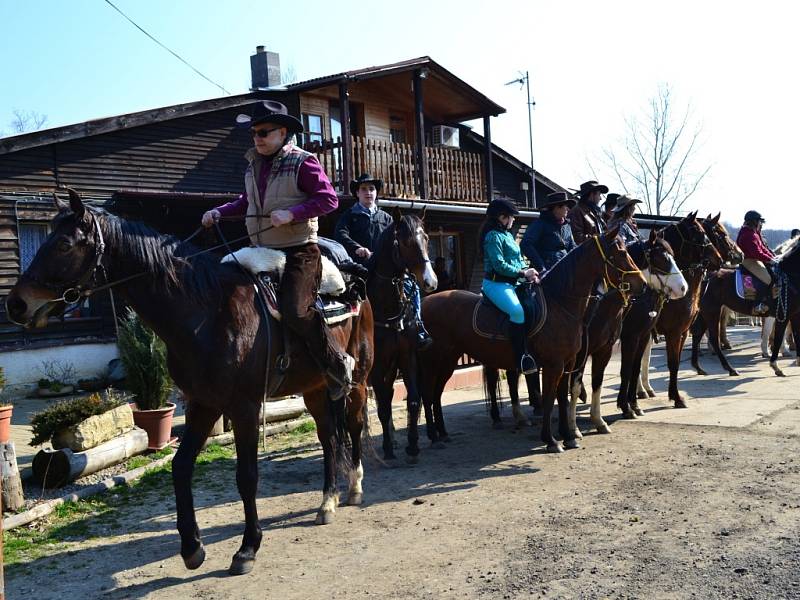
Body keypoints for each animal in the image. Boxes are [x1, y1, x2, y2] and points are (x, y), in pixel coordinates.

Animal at [5, 189, 376, 576]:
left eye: (64, 244)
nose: (16, 304)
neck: (208, 312)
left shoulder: (244, 407)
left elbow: (247, 476)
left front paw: (247, 548)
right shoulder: (203, 403)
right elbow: (180, 467)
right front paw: (192, 547)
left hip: (357, 381)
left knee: (353, 424)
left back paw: (354, 487)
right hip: (314, 389)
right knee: (328, 437)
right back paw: (328, 501)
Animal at [368, 209, 440, 462]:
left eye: (426, 238)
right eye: (406, 242)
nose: (430, 281)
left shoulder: (406, 357)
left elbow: (414, 400)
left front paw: (412, 445)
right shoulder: (377, 365)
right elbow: (382, 407)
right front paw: (388, 449)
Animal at [418, 227, 644, 452]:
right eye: (621, 253)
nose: (641, 283)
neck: (559, 304)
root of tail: (424, 303)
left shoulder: (569, 362)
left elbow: (562, 397)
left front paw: (568, 436)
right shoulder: (554, 365)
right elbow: (550, 399)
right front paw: (551, 440)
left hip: (449, 359)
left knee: (436, 394)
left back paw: (443, 433)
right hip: (432, 361)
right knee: (428, 394)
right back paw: (434, 436)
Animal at [564, 230, 684, 432]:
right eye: (660, 259)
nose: (683, 288)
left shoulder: (642, 336)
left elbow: (634, 369)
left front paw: (633, 404)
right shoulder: (629, 337)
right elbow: (626, 371)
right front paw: (626, 407)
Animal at [688, 237, 800, 378]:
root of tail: (705, 277)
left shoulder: (794, 314)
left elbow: (795, 334)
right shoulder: (782, 315)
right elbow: (778, 337)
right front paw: (775, 365)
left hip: (704, 313)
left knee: (698, 334)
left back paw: (699, 367)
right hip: (712, 311)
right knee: (713, 338)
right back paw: (730, 368)